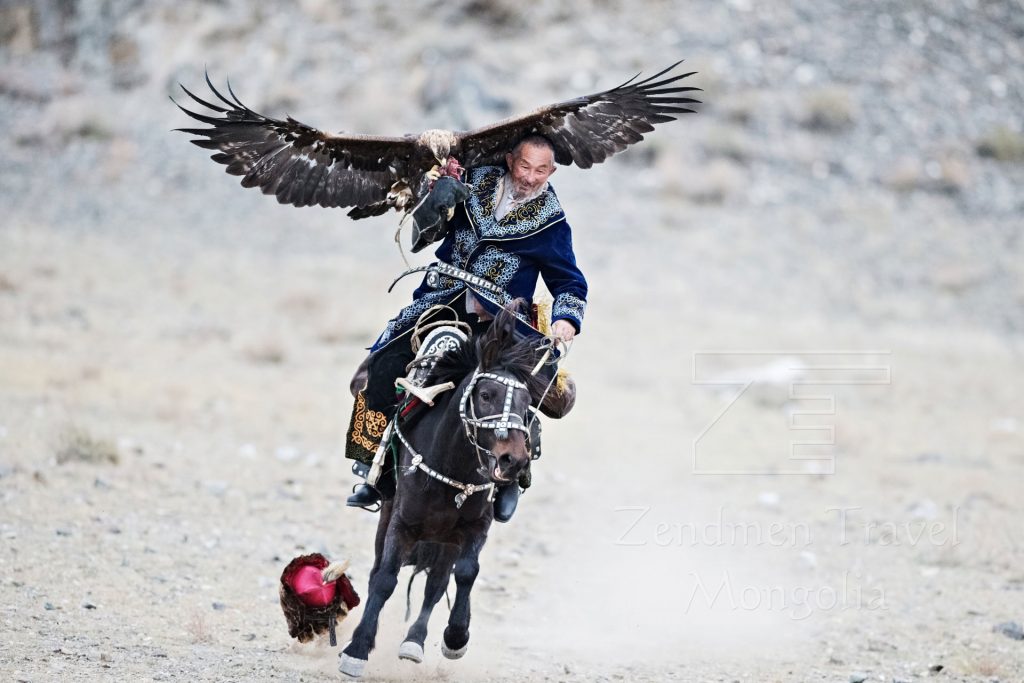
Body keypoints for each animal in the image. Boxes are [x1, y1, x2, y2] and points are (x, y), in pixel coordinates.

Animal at [337, 305, 548, 679]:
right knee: (382, 572)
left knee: (435, 584)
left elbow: (465, 573)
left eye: (527, 403)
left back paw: (414, 643)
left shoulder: (475, 527)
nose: (514, 461)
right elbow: (385, 579)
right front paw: (357, 650)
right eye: (485, 395)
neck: (451, 466)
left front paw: (456, 637)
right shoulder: (402, 523)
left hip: (444, 538)